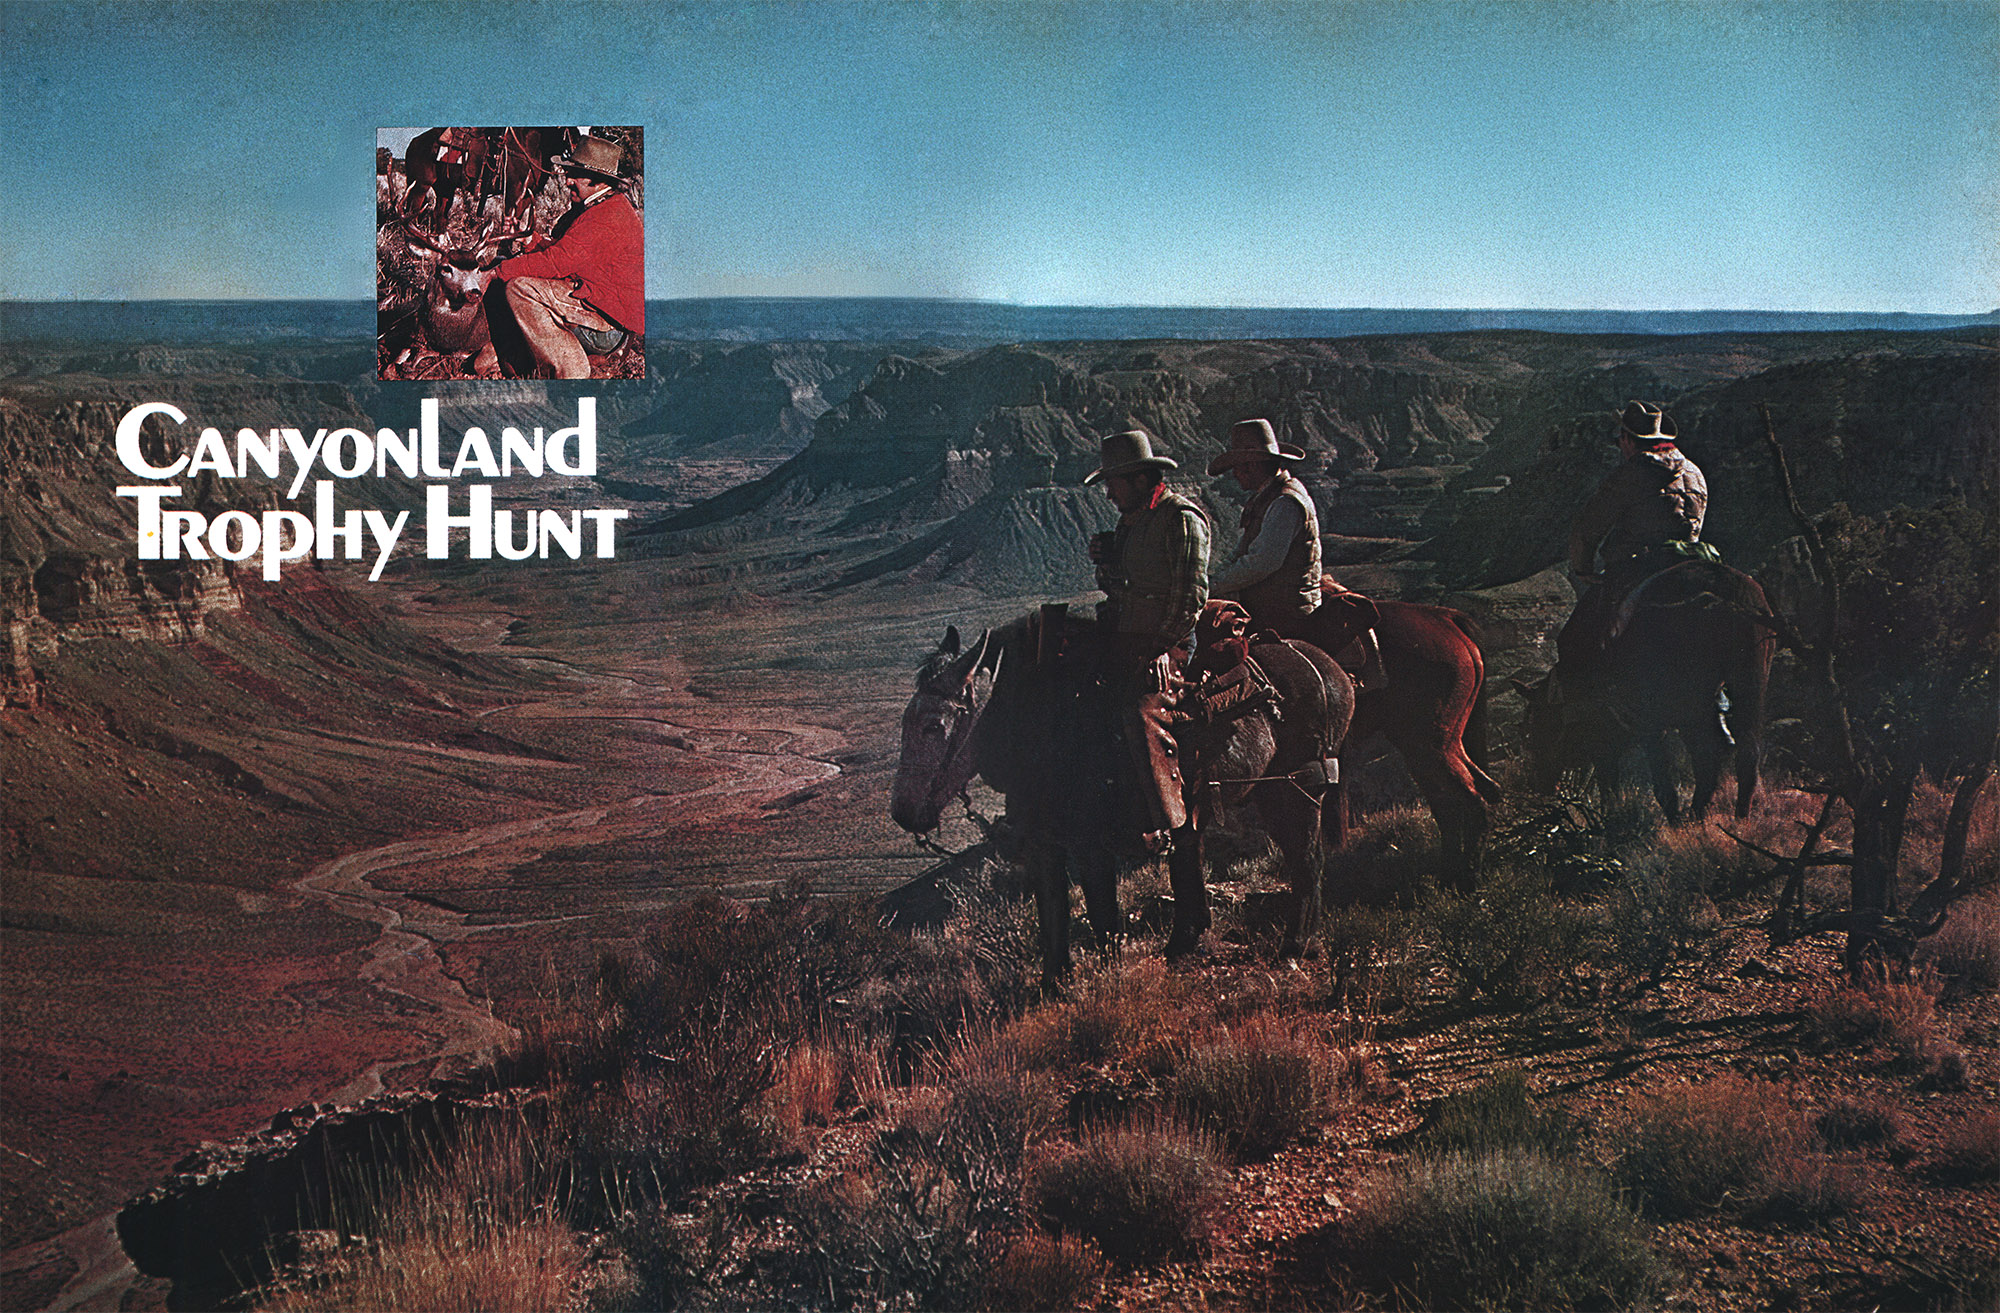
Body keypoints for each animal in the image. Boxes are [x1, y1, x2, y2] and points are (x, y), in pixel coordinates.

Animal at [896, 608, 1352, 980]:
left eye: (933, 725)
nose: (903, 812)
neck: (1050, 719)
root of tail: (1329, 669)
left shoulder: (1090, 843)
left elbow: (1102, 916)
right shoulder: (1047, 842)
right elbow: (1053, 913)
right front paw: (1054, 986)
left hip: (1295, 790)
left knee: (1307, 861)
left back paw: (1295, 947)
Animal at [1280, 588, 1504, 876]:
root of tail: (1445, 618)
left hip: (1427, 743)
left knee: (1469, 800)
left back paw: (1467, 875)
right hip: (1437, 742)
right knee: (1460, 799)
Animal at [1504, 560, 1776, 820]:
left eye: (1539, 728)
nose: (1540, 785)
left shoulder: (1630, 730)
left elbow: (1624, 786)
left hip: (1690, 704)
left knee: (1707, 755)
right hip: (1749, 681)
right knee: (1746, 751)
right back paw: (1736, 816)